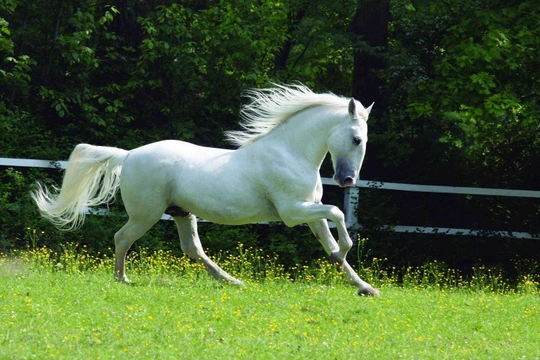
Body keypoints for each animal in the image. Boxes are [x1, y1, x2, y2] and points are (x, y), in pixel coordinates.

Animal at [32, 83, 380, 296]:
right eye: (356, 139)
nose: (347, 181)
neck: (289, 152)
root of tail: (128, 155)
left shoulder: (310, 213)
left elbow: (329, 237)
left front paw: (365, 287)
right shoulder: (293, 212)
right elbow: (337, 214)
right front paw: (344, 252)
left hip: (181, 213)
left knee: (192, 249)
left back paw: (233, 281)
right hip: (147, 214)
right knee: (122, 238)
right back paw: (123, 279)